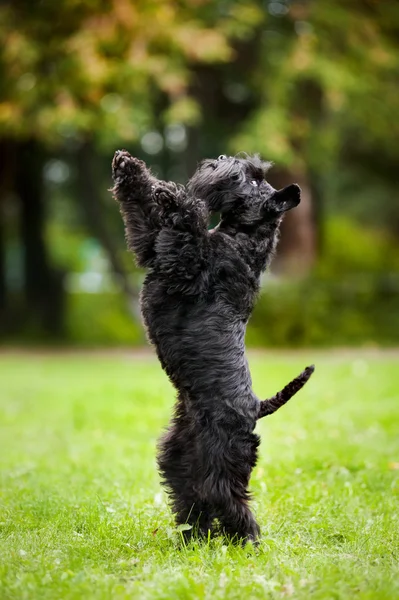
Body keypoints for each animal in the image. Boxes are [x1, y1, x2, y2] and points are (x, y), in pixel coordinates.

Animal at [112, 151, 316, 544]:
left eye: (253, 180)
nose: (222, 159)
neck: (242, 239)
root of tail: (257, 406)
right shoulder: (154, 248)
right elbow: (144, 218)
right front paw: (130, 168)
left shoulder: (184, 263)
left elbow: (187, 222)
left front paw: (173, 195)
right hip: (181, 455)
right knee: (193, 495)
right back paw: (193, 538)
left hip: (223, 460)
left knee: (228, 498)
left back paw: (247, 542)